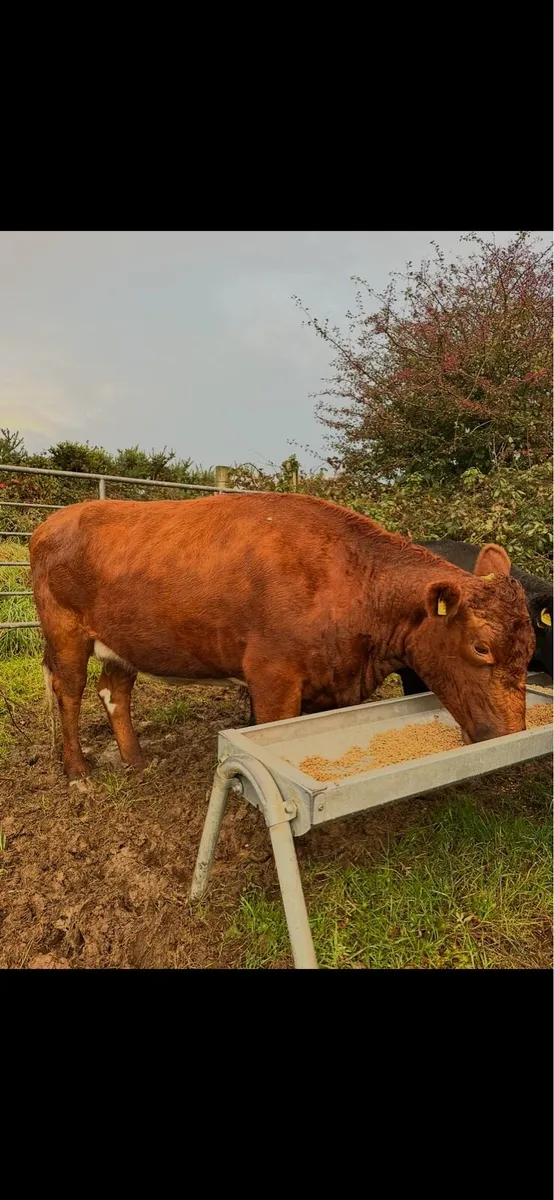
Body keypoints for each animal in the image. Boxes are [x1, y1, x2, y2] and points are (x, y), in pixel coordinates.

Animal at [29, 493, 535, 783]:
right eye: (480, 647)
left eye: (530, 648)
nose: (513, 734)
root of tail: (52, 522)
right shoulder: (272, 677)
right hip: (65, 633)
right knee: (69, 692)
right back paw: (77, 771)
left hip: (122, 643)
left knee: (114, 691)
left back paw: (135, 760)